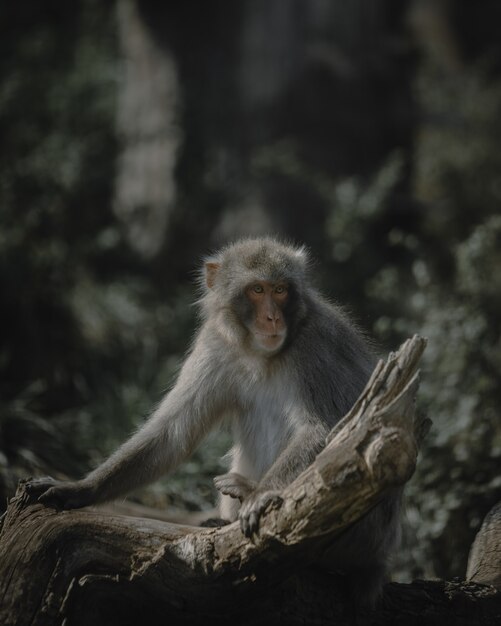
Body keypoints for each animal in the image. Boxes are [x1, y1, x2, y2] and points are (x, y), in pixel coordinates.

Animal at [27, 236, 400, 604]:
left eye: (281, 290)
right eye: (257, 290)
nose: (272, 319)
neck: (260, 354)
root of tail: (380, 555)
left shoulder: (315, 346)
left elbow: (325, 430)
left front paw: (261, 494)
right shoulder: (215, 343)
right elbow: (172, 433)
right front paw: (80, 488)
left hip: (363, 534)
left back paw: (250, 494)